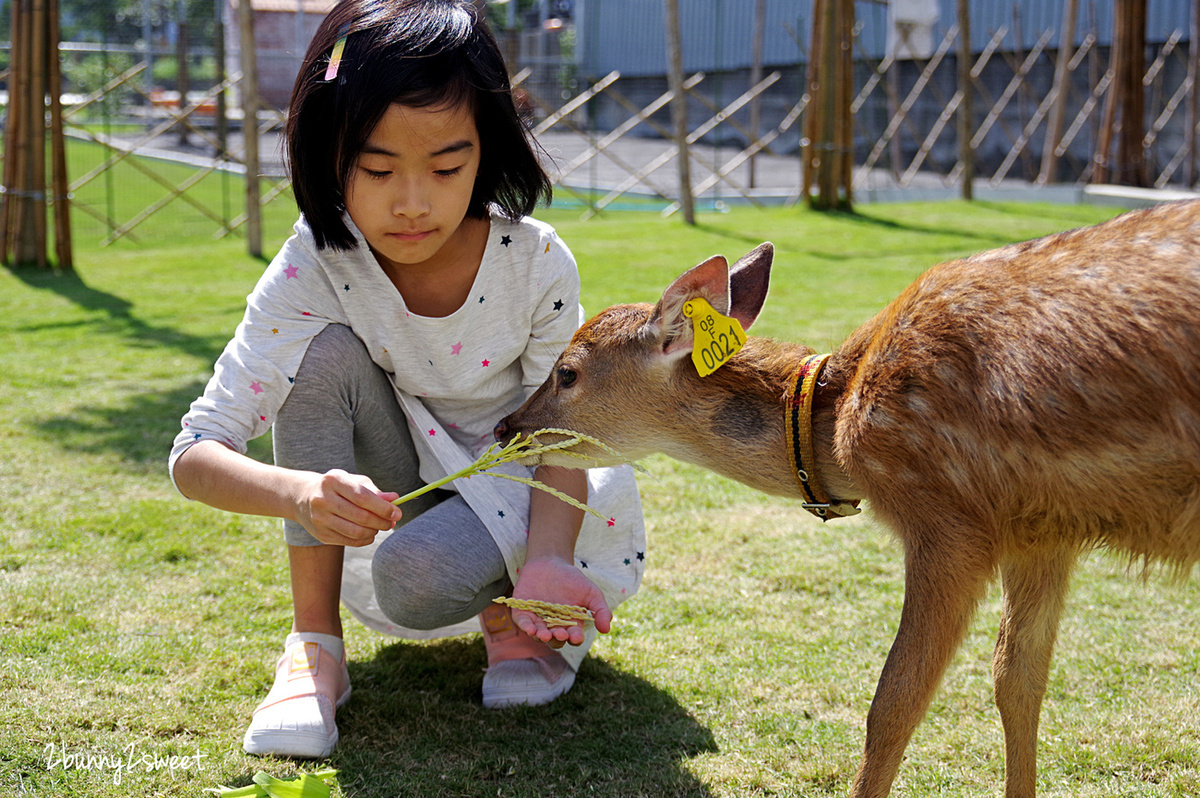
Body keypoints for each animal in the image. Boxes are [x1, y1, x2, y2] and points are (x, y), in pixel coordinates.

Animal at [494, 200, 1200, 796]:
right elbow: (1017, 681)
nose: (506, 426)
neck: (842, 429)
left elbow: (892, 703)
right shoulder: (1044, 529)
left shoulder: (951, 520)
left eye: (567, 372)